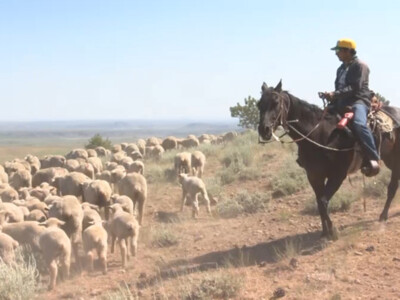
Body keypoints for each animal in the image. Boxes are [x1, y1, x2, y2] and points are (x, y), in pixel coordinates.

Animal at [258, 79, 400, 239]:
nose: (264, 130)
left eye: (275, 102)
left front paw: (332, 231)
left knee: (392, 187)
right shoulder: (314, 175)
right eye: (259, 104)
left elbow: (323, 201)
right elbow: (319, 202)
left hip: (396, 159)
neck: (320, 134)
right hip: (390, 159)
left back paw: (383, 216)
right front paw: (325, 231)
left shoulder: (338, 175)